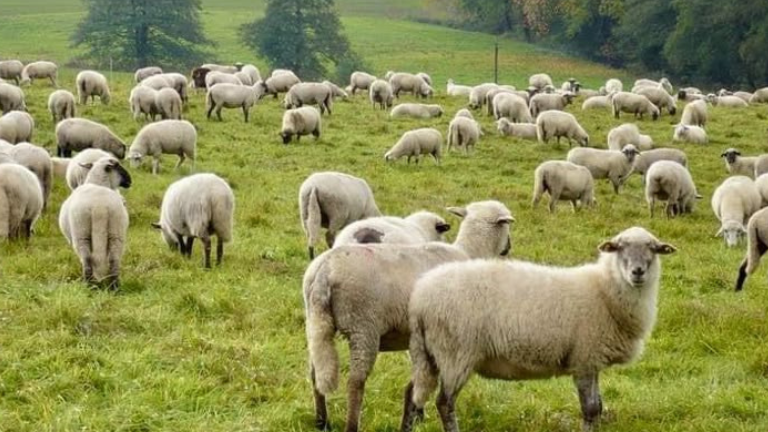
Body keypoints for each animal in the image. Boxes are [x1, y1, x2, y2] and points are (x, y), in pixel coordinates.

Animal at [58, 157, 131, 288]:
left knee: (87, 258)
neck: (97, 182)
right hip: (116, 230)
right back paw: (114, 286)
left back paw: (89, 284)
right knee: (114, 258)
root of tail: (99, 206)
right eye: (118, 166)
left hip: (81, 232)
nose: (129, 180)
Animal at [304, 200, 513, 432]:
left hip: (317, 322)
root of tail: (324, 271)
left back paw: (322, 421)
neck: (469, 253)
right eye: (507, 226)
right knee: (355, 382)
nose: (508, 248)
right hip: (363, 327)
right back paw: (350, 425)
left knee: (315, 373)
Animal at [401, 227, 675, 432]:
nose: (637, 272)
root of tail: (420, 297)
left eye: (653, 249)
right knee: (444, 402)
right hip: (456, 352)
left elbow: (598, 407)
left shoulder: (592, 359)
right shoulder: (584, 358)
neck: (604, 291)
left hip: (429, 354)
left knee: (412, 394)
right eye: (619, 247)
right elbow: (589, 409)